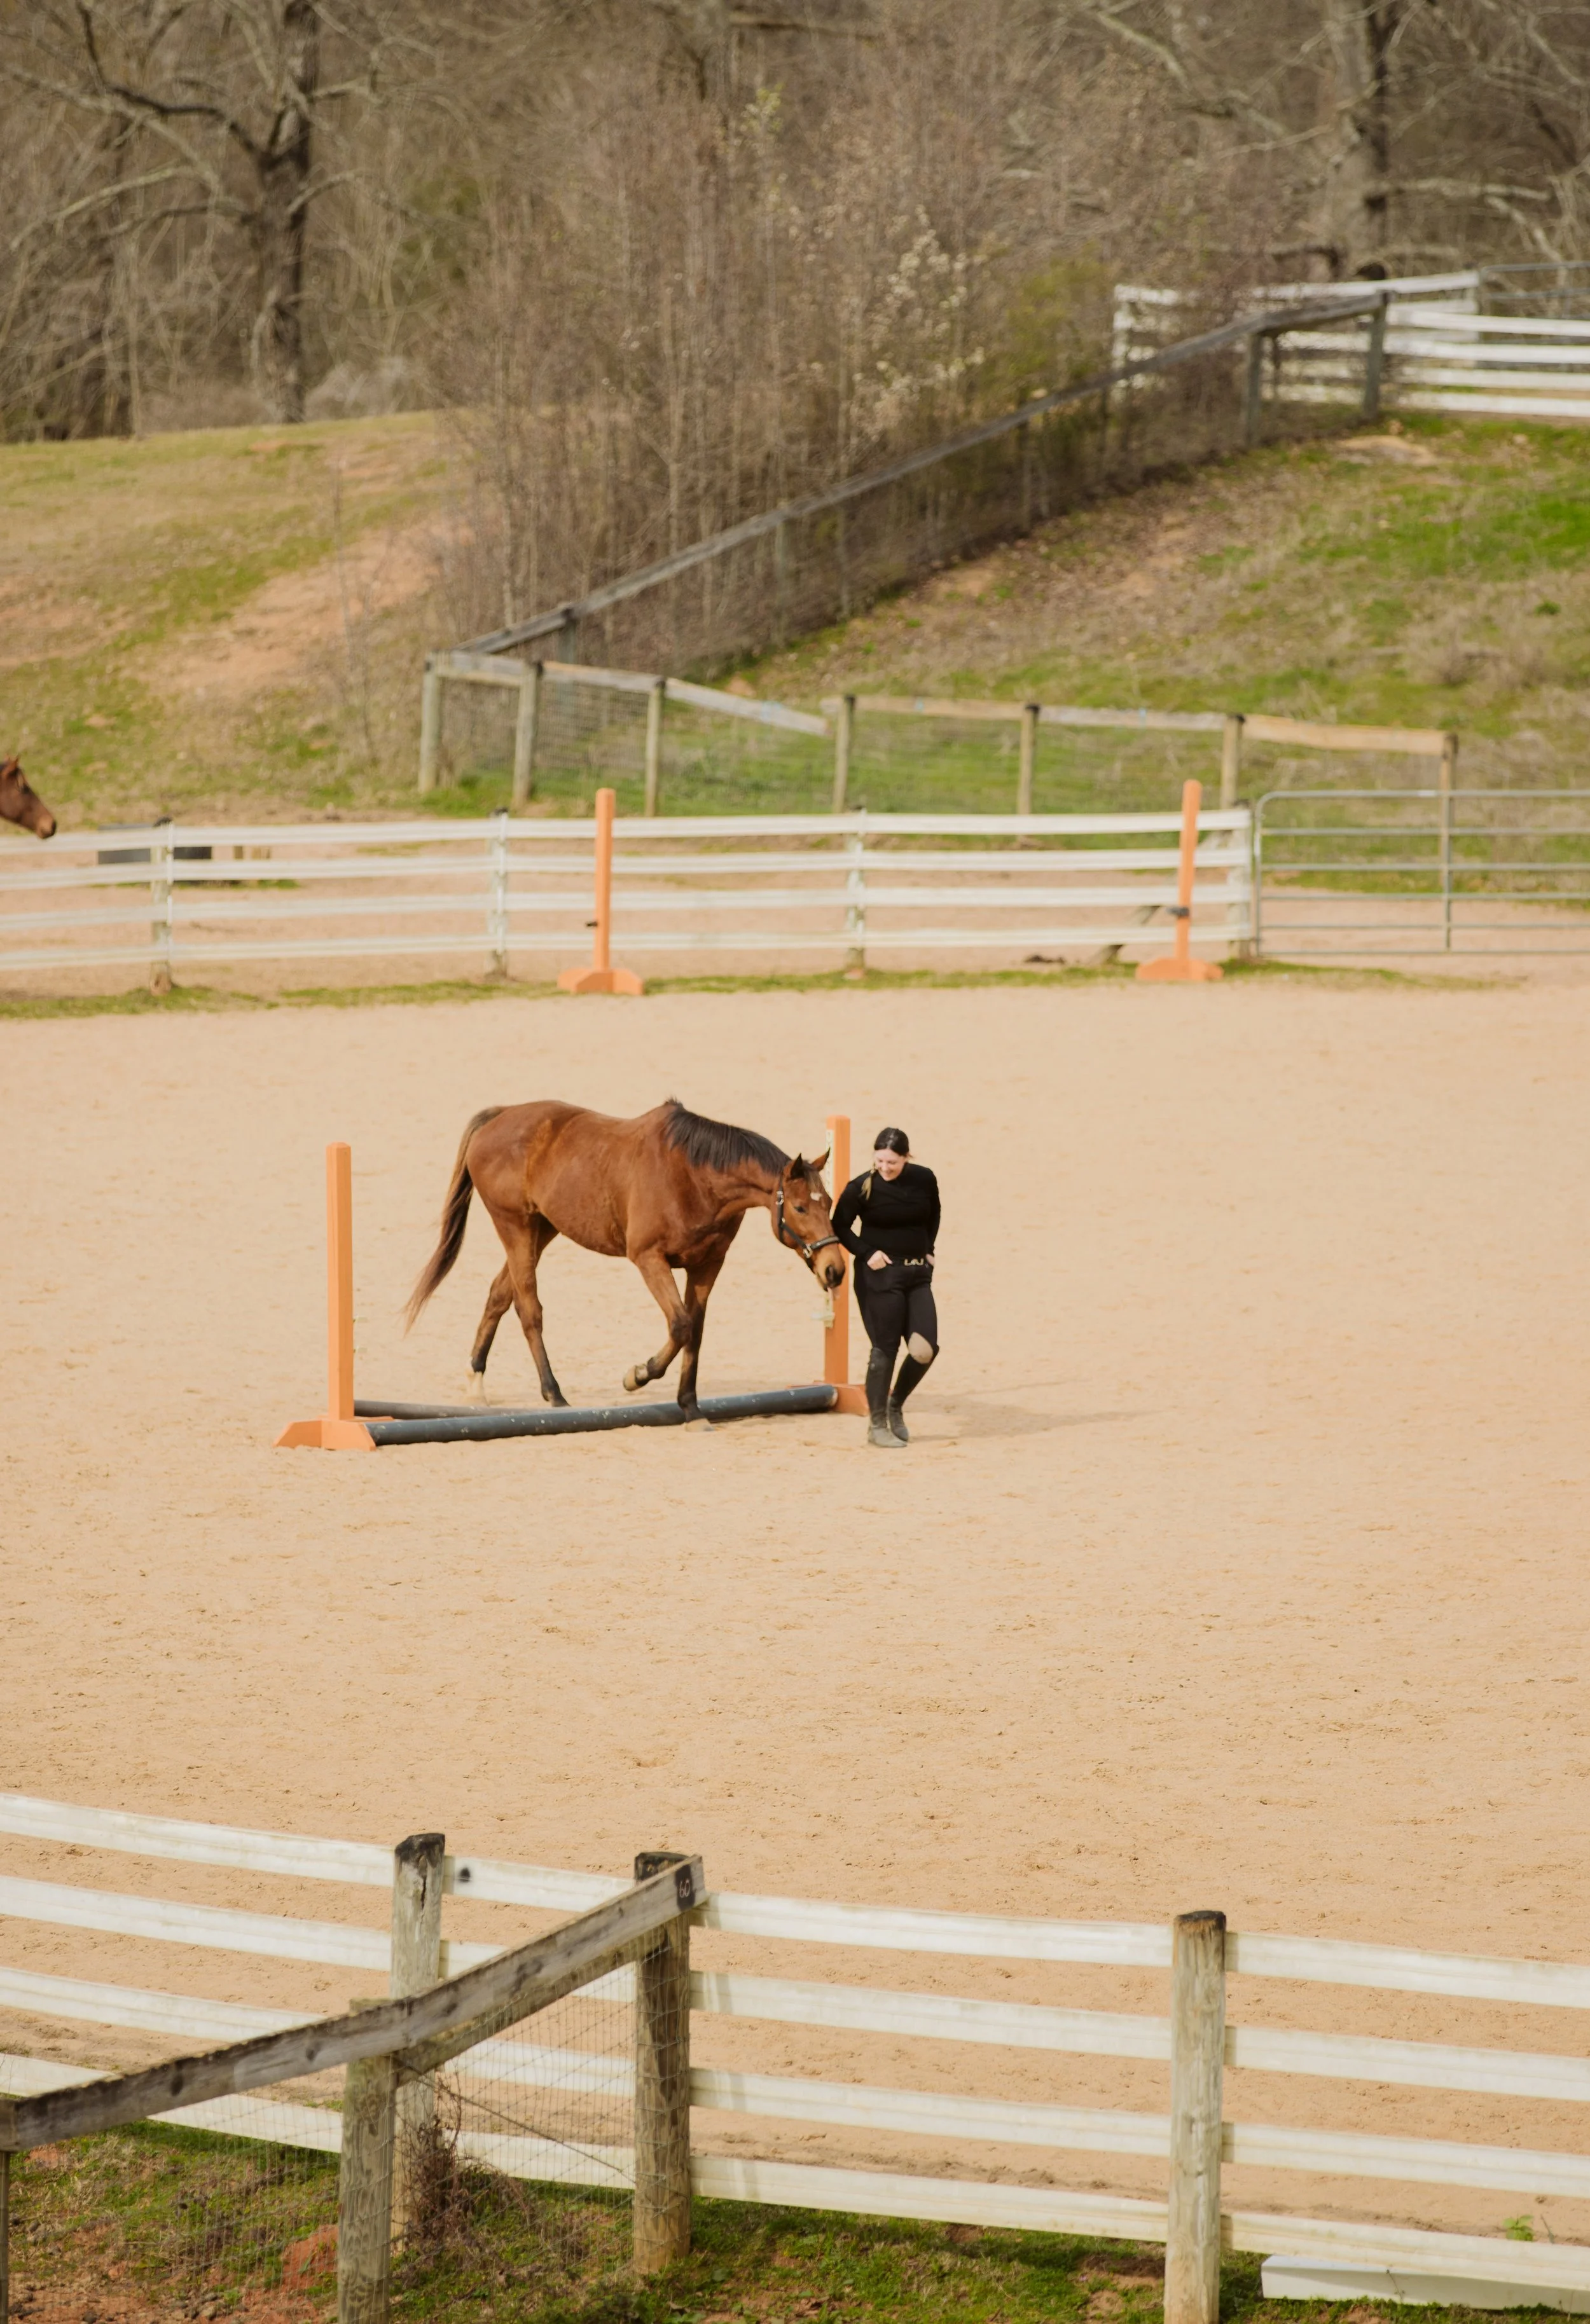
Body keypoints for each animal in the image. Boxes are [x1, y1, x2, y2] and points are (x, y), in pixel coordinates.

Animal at [404, 1098, 847, 1422]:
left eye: (828, 1202)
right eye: (801, 1208)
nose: (834, 1269)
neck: (695, 1176)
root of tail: (500, 1116)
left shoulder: (707, 1265)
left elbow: (695, 1332)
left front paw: (690, 1407)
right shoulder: (649, 1258)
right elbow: (680, 1325)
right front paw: (638, 1375)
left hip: (542, 1230)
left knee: (500, 1294)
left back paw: (476, 1380)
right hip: (516, 1227)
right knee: (528, 1308)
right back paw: (554, 1394)